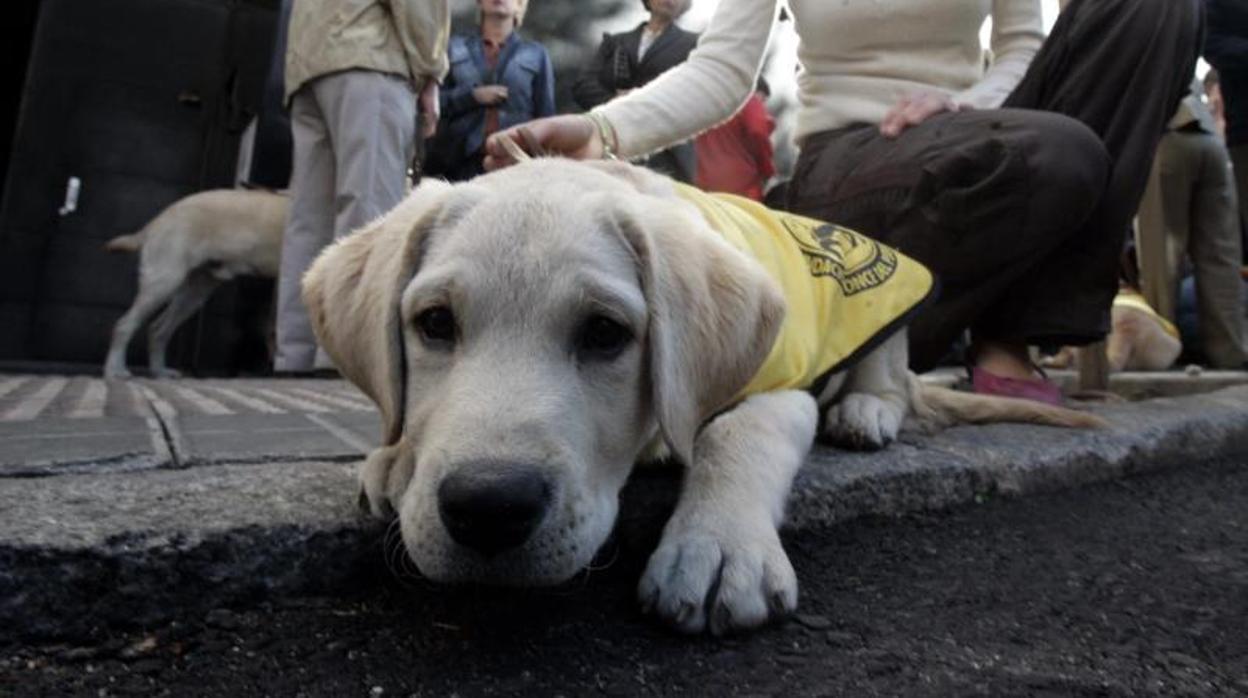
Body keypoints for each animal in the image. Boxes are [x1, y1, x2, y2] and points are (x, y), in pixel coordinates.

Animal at [102, 188, 287, 379]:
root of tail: (160, 218)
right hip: (163, 283)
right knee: (124, 325)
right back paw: (114, 370)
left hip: (193, 294)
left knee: (158, 330)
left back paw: (159, 371)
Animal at [302, 159, 1103, 639]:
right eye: (435, 323)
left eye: (605, 333)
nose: (490, 506)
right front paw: (395, 458)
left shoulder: (782, 385)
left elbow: (733, 436)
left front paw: (718, 546)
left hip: (885, 312)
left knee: (889, 376)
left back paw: (867, 412)